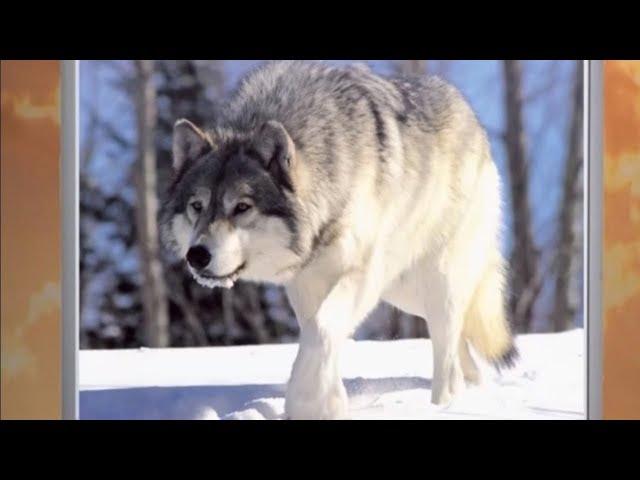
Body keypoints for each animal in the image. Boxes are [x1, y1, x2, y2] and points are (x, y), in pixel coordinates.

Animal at [161, 61, 520, 420]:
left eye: (242, 207)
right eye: (197, 206)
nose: (197, 256)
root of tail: (472, 119)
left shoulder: (362, 274)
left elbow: (321, 329)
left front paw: (307, 401)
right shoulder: (305, 282)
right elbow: (316, 335)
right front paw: (330, 403)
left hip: (433, 282)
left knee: (448, 348)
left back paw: (445, 403)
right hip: (405, 293)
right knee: (460, 342)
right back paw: (471, 387)